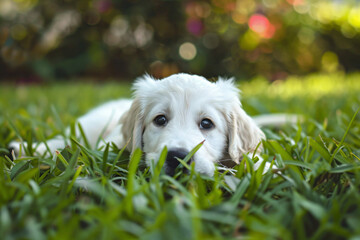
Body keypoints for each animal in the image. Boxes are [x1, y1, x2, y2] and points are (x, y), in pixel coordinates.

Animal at [9, 73, 268, 176]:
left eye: (207, 123)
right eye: (160, 119)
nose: (178, 157)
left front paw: (264, 167)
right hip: (90, 123)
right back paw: (22, 149)